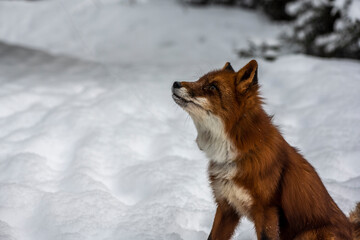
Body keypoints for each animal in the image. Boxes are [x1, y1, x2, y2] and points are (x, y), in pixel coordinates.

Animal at [172, 59, 360, 239]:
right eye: (199, 80)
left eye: (212, 87)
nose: (175, 83)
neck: (232, 156)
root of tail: (351, 229)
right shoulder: (226, 206)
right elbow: (212, 237)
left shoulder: (266, 210)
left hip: (309, 234)